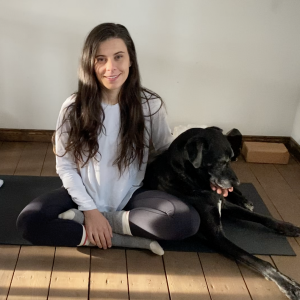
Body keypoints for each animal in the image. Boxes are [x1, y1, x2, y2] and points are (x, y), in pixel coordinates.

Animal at [143, 126, 300, 300]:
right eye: (221, 162)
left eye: (231, 159)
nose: (237, 182)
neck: (192, 180)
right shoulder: (216, 236)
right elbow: (260, 261)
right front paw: (287, 284)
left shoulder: (223, 205)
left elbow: (262, 217)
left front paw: (288, 227)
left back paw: (243, 199)